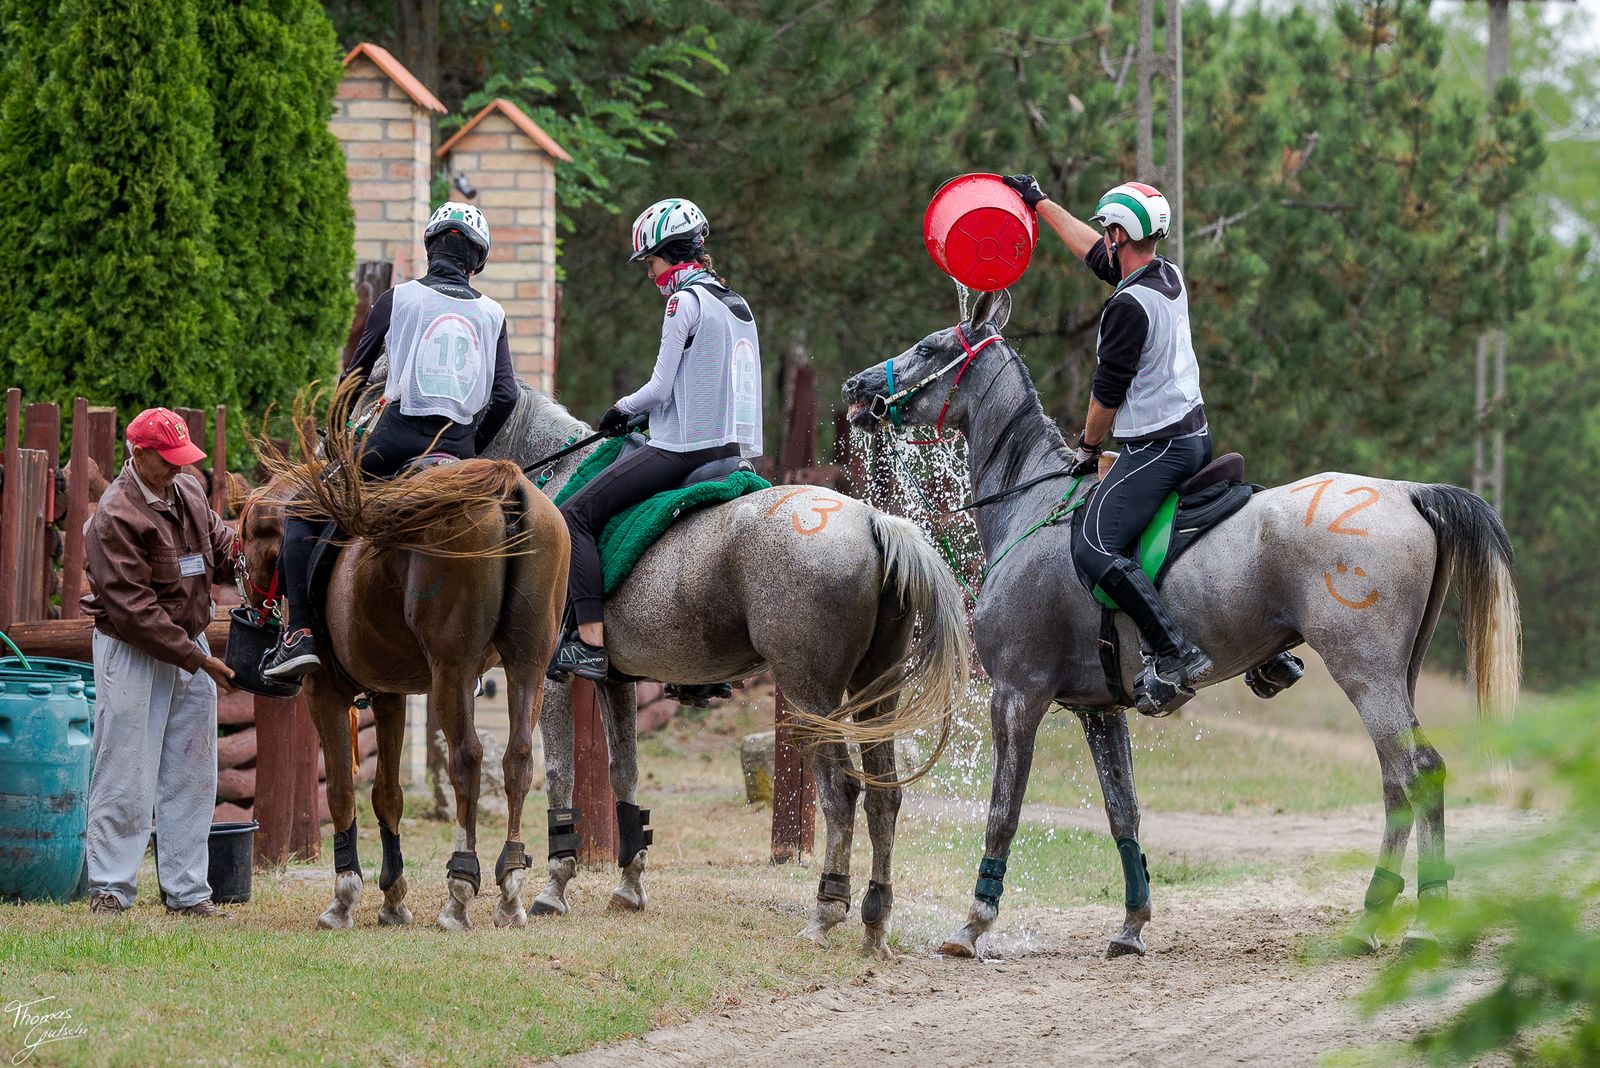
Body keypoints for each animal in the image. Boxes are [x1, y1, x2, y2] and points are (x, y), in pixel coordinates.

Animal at [480, 385, 966, 959]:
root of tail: (872, 521)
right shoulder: (617, 680)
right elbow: (625, 773)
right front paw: (629, 884)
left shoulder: (551, 678)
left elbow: (559, 773)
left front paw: (554, 887)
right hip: (874, 693)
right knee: (885, 796)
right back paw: (875, 922)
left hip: (810, 696)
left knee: (841, 792)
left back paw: (827, 910)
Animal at [838, 289, 1523, 959]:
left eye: (930, 347)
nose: (856, 387)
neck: (1033, 505)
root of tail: (1406, 491)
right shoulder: (1098, 709)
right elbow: (1124, 813)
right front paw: (1132, 925)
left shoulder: (1017, 694)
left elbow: (1003, 811)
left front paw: (974, 924)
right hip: (1393, 675)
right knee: (1395, 782)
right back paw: (1371, 919)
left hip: (1365, 671)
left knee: (1418, 772)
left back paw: (1424, 923)